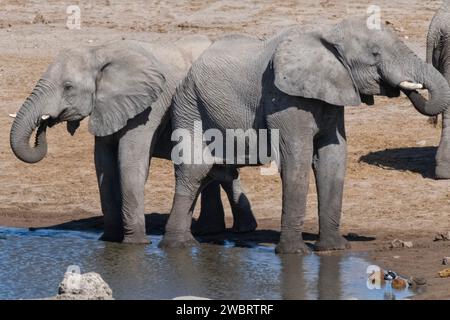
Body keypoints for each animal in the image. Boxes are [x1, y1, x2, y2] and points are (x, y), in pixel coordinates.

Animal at [9, 37, 256, 242]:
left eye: (68, 87)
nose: (44, 125)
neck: (100, 52)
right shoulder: (108, 106)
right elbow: (104, 167)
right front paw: (109, 240)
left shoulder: (149, 108)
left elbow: (130, 164)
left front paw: (134, 243)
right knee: (219, 171)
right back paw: (218, 231)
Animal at [162, 18, 450, 254]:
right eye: (375, 54)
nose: (407, 87)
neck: (328, 33)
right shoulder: (283, 97)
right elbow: (296, 161)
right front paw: (294, 253)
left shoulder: (332, 93)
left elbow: (332, 158)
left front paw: (334, 249)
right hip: (190, 107)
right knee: (195, 171)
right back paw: (177, 246)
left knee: (212, 173)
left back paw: (188, 241)